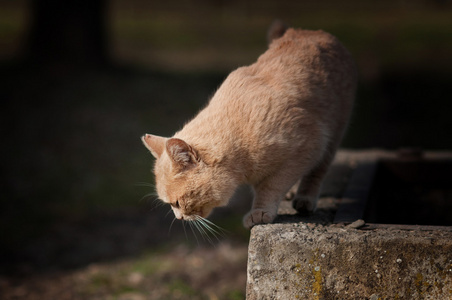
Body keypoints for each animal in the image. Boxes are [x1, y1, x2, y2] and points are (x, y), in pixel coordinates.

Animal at [141, 22, 356, 229]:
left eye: (176, 203)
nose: (179, 218)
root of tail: (310, 31)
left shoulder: (310, 144)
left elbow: (271, 186)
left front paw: (260, 211)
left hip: (334, 133)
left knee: (317, 171)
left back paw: (305, 199)